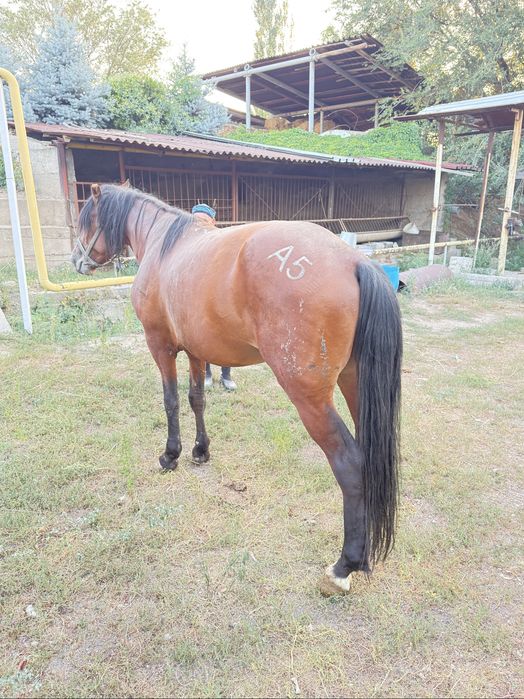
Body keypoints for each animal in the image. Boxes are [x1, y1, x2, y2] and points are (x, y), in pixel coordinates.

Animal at [71, 183, 402, 596]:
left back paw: (344, 566)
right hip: (356, 387)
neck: (165, 245)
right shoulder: (197, 351)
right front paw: (200, 450)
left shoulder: (160, 346)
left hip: (311, 399)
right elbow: (197, 399)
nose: (76, 260)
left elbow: (171, 400)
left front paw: (170, 455)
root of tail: (354, 262)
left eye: (86, 220)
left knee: (350, 463)